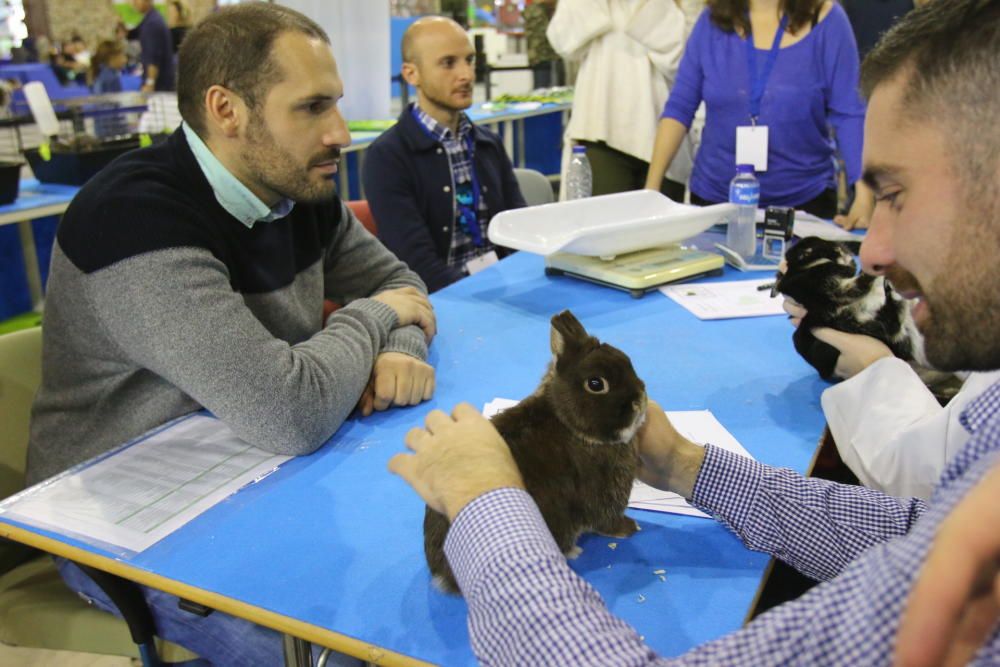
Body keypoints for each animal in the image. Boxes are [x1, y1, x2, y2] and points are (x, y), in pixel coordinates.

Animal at [422, 310, 648, 596]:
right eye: (596, 384)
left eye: (627, 361)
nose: (640, 401)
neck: (569, 424)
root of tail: (441, 573)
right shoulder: (602, 495)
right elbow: (606, 521)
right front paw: (630, 528)